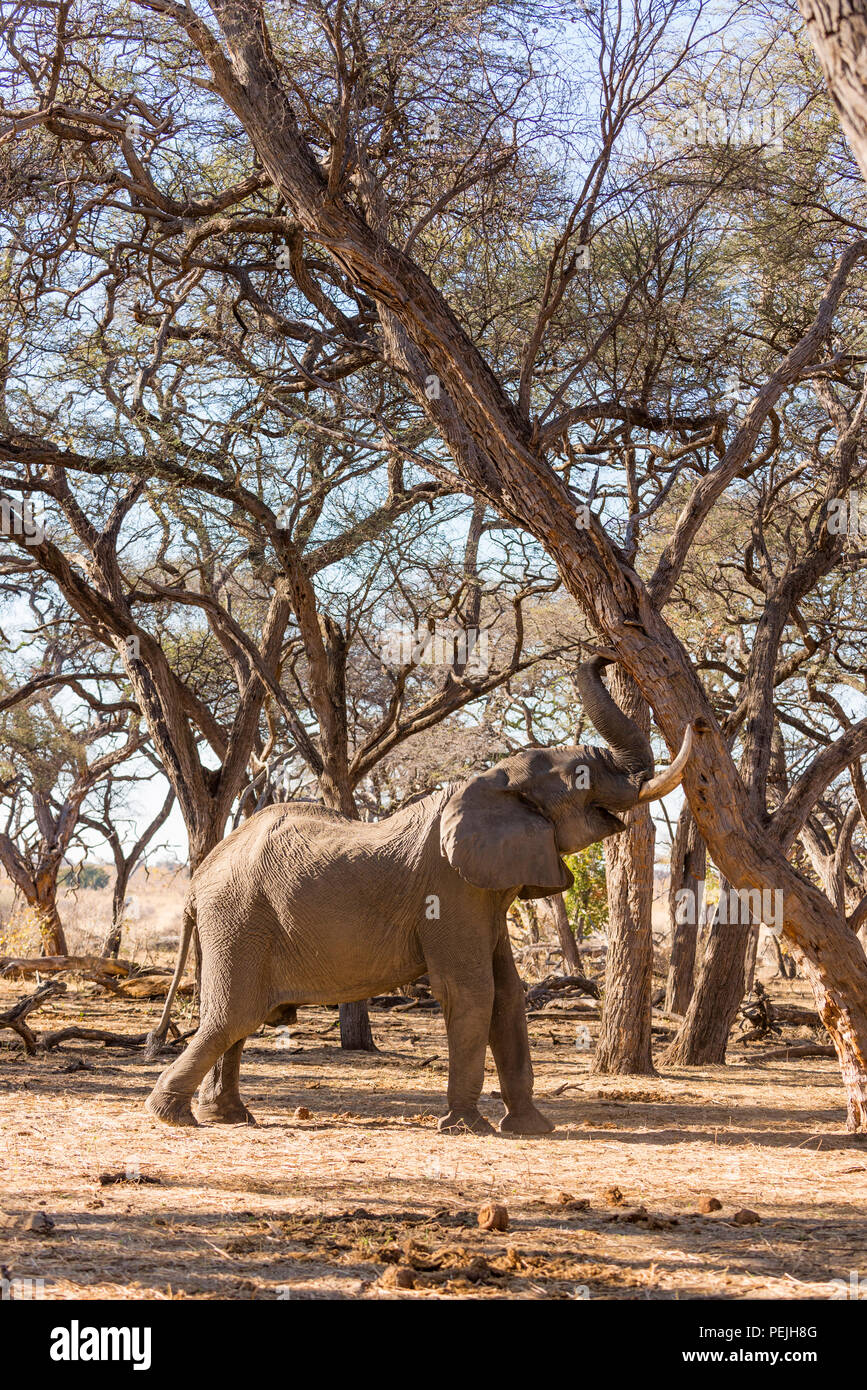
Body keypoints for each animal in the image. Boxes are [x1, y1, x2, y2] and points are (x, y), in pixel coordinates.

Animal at [144, 656, 692, 1136]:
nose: (604, 654)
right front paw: (468, 1128)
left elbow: (508, 993)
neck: (493, 780)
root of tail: (197, 881)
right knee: (233, 1016)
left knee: (238, 1021)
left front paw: (533, 1129)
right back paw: (172, 1116)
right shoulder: (451, 888)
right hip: (238, 919)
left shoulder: (485, 890)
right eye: (581, 776)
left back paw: (227, 1117)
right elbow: (472, 990)